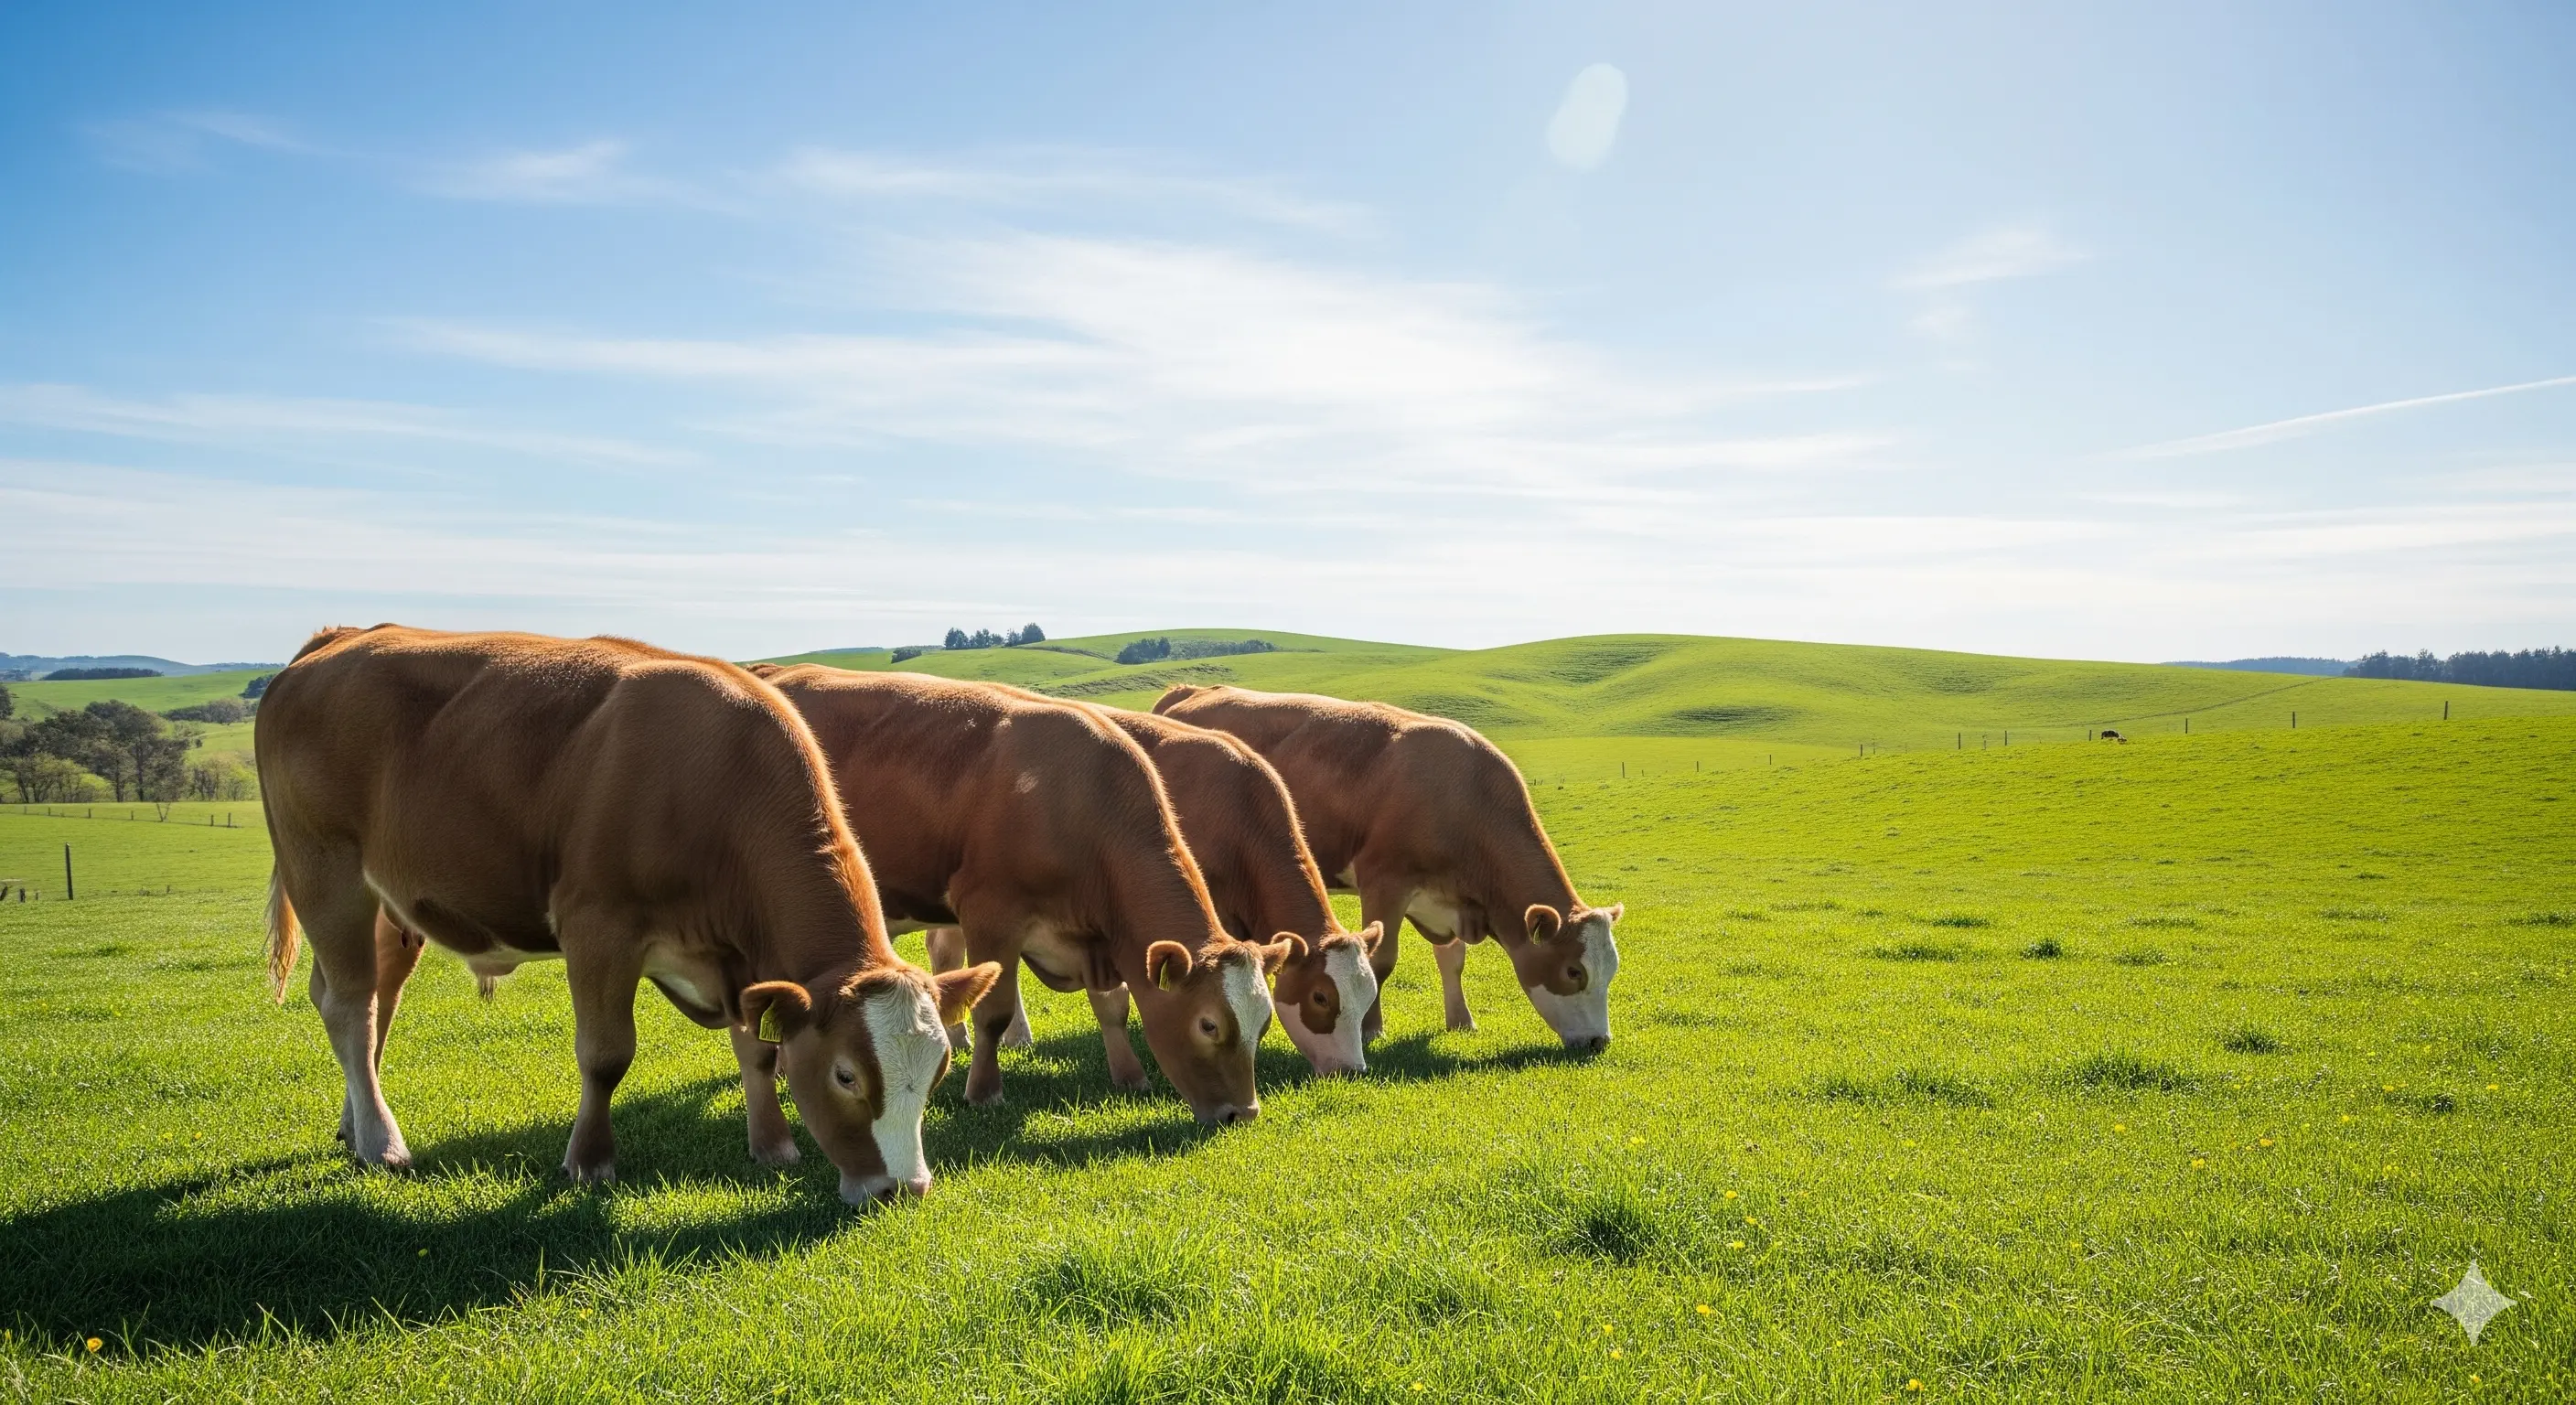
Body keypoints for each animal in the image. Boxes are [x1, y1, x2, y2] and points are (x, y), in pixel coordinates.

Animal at [255, 625, 998, 1204]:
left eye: (940, 1066)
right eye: (846, 1075)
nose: (904, 1187)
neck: (718, 788)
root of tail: (338, 638)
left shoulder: (737, 959)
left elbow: (758, 1048)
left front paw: (773, 1145)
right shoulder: (597, 928)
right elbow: (606, 1055)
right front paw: (589, 1161)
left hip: (390, 902)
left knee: (369, 1000)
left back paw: (355, 1125)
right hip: (324, 870)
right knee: (349, 1005)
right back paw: (382, 1142)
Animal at [747, 665, 1292, 1124]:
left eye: (1264, 1023)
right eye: (1209, 1025)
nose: (1243, 1113)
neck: (1075, 802)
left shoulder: (1097, 939)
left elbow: (1113, 1006)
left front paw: (1130, 1075)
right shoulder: (990, 914)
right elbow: (993, 1013)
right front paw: (984, 1091)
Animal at [1155, 684, 1622, 1051]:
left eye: (1612, 972)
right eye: (1574, 971)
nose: (1599, 1042)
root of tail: (1189, 691)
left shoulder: (1444, 898)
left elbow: (1453, 959)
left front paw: (1461, 1021)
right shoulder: (1385, 882)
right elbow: (1381, 962)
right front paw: (1371, 1030)